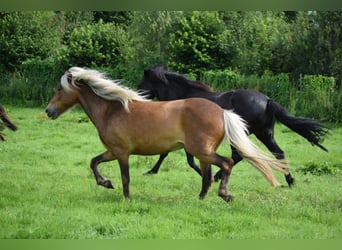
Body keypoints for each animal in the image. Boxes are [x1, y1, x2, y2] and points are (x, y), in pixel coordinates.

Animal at [137, 63, 328, 187]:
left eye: (141, 84)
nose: (138, 98)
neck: (182, 97)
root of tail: (267, 100)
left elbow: (182, 158)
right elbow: (168, 154)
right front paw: (151, 171)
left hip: (244, 133)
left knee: (239, 156)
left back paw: (218, 176)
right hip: (265, 133)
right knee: (278, 152)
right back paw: (290, 181)